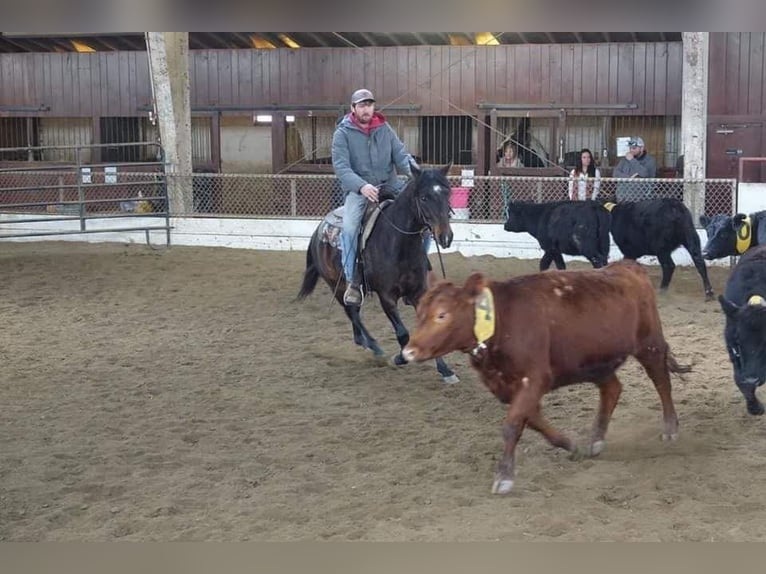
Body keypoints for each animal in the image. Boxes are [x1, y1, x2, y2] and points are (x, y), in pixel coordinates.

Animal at [296, 162, 460, 384]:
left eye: (447, 193)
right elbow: (402, 333)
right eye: (424, 197)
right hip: (337, 285)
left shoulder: (417, 292)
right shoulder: (386, 296)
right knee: (351, 312)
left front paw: (445, 370)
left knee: (354, 316)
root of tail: (317, 232)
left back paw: (364, 344)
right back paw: (375, 348)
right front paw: (400, 357)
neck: (398, 244)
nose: (446, 237)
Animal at [402, 260, 688, 496]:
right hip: (596, 362)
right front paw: (570, 445)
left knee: (661, 381)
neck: (501, 321)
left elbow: (512, 425)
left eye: (442, 315)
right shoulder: (507, 387)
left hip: (649, 344)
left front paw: (504, 476)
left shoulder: (534, 378)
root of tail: (628, 265)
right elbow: (533, 421)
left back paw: (670, 428)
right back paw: (596, 439)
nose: (408, 352)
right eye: (419, 312)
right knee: (612, 389)